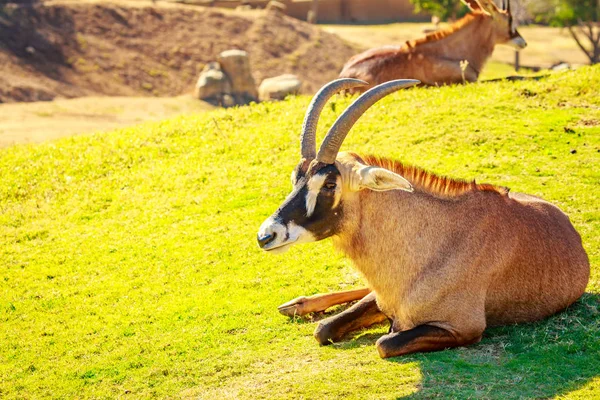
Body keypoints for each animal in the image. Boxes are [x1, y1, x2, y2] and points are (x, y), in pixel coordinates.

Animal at [255, 79, 588, 360]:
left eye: (329, 184)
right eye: (296, 177)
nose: (266, 235)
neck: (432, 243)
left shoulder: (463, 329)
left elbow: (384, 343)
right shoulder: (385, 300)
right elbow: (323, 329)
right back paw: (297, 305)